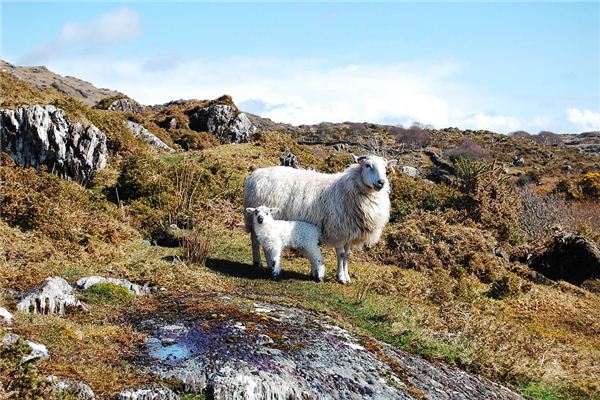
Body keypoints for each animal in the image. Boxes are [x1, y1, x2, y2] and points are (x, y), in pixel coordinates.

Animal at [241, 155, 396, 282]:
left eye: (385, 168)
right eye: (368, 165)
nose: (381, 182)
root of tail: (255, 175)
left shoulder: (348, 232)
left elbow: (347, 255)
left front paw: (346, 277)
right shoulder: (338, 230)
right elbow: (341, 255)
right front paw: (341, 277)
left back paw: (268, 265)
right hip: (257, 219)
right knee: (255, 241)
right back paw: (259, 263)